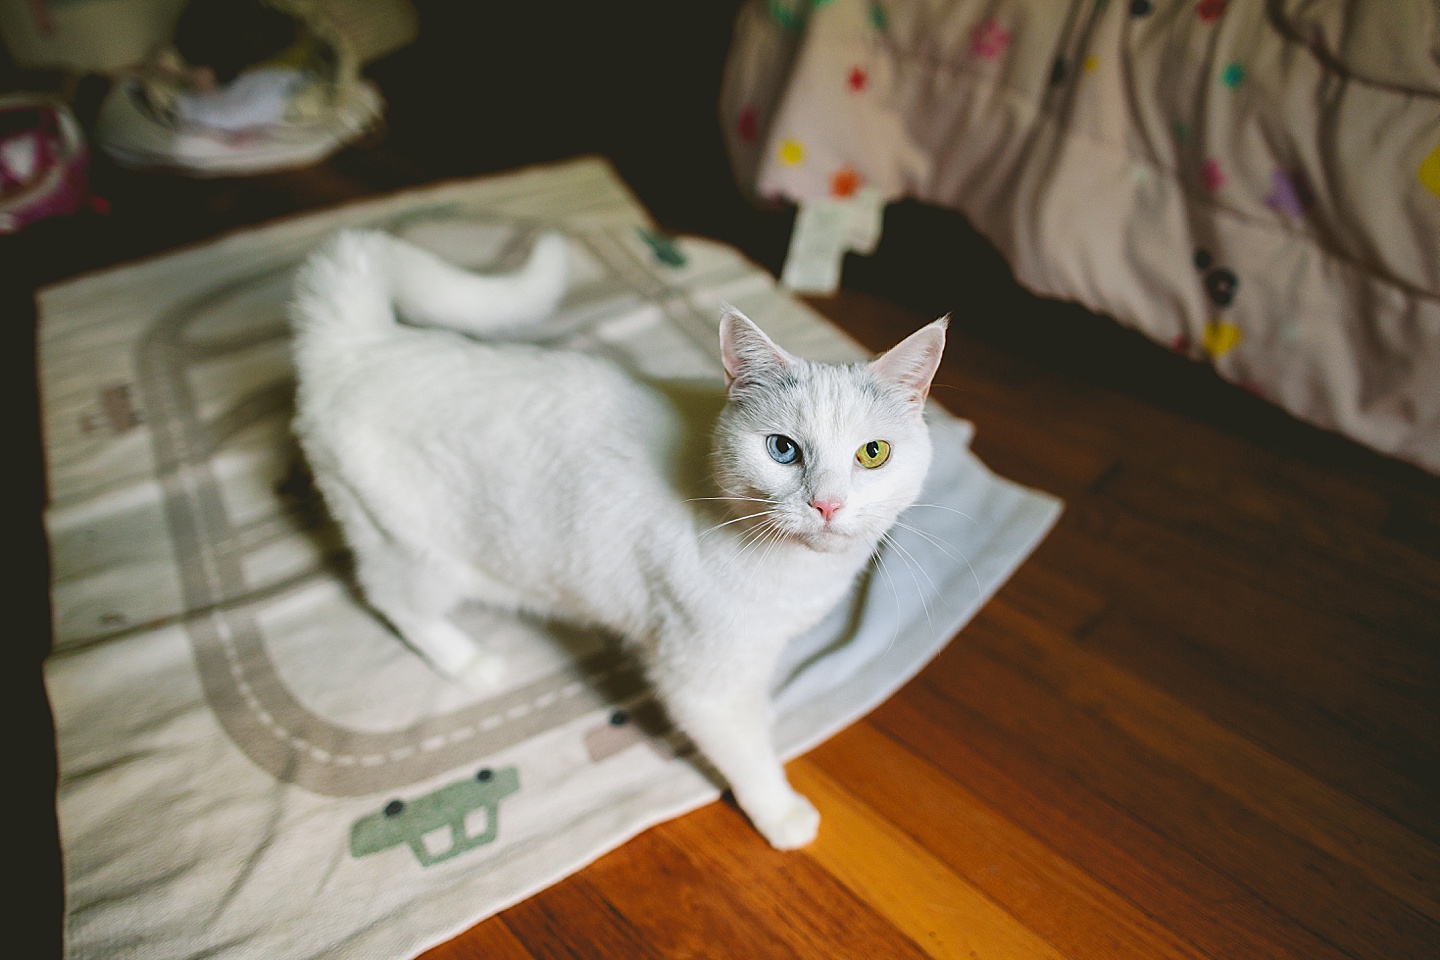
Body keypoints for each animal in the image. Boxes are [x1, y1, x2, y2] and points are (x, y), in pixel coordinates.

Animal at [288, 230, 950, 846]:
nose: (827, 504)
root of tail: (359, 344)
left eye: (873, 453)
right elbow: (745, 751)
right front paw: (782, 812)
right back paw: (470, 662)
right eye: (783, 449)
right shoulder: (701, 679)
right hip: (418, 552)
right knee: (394, 602)